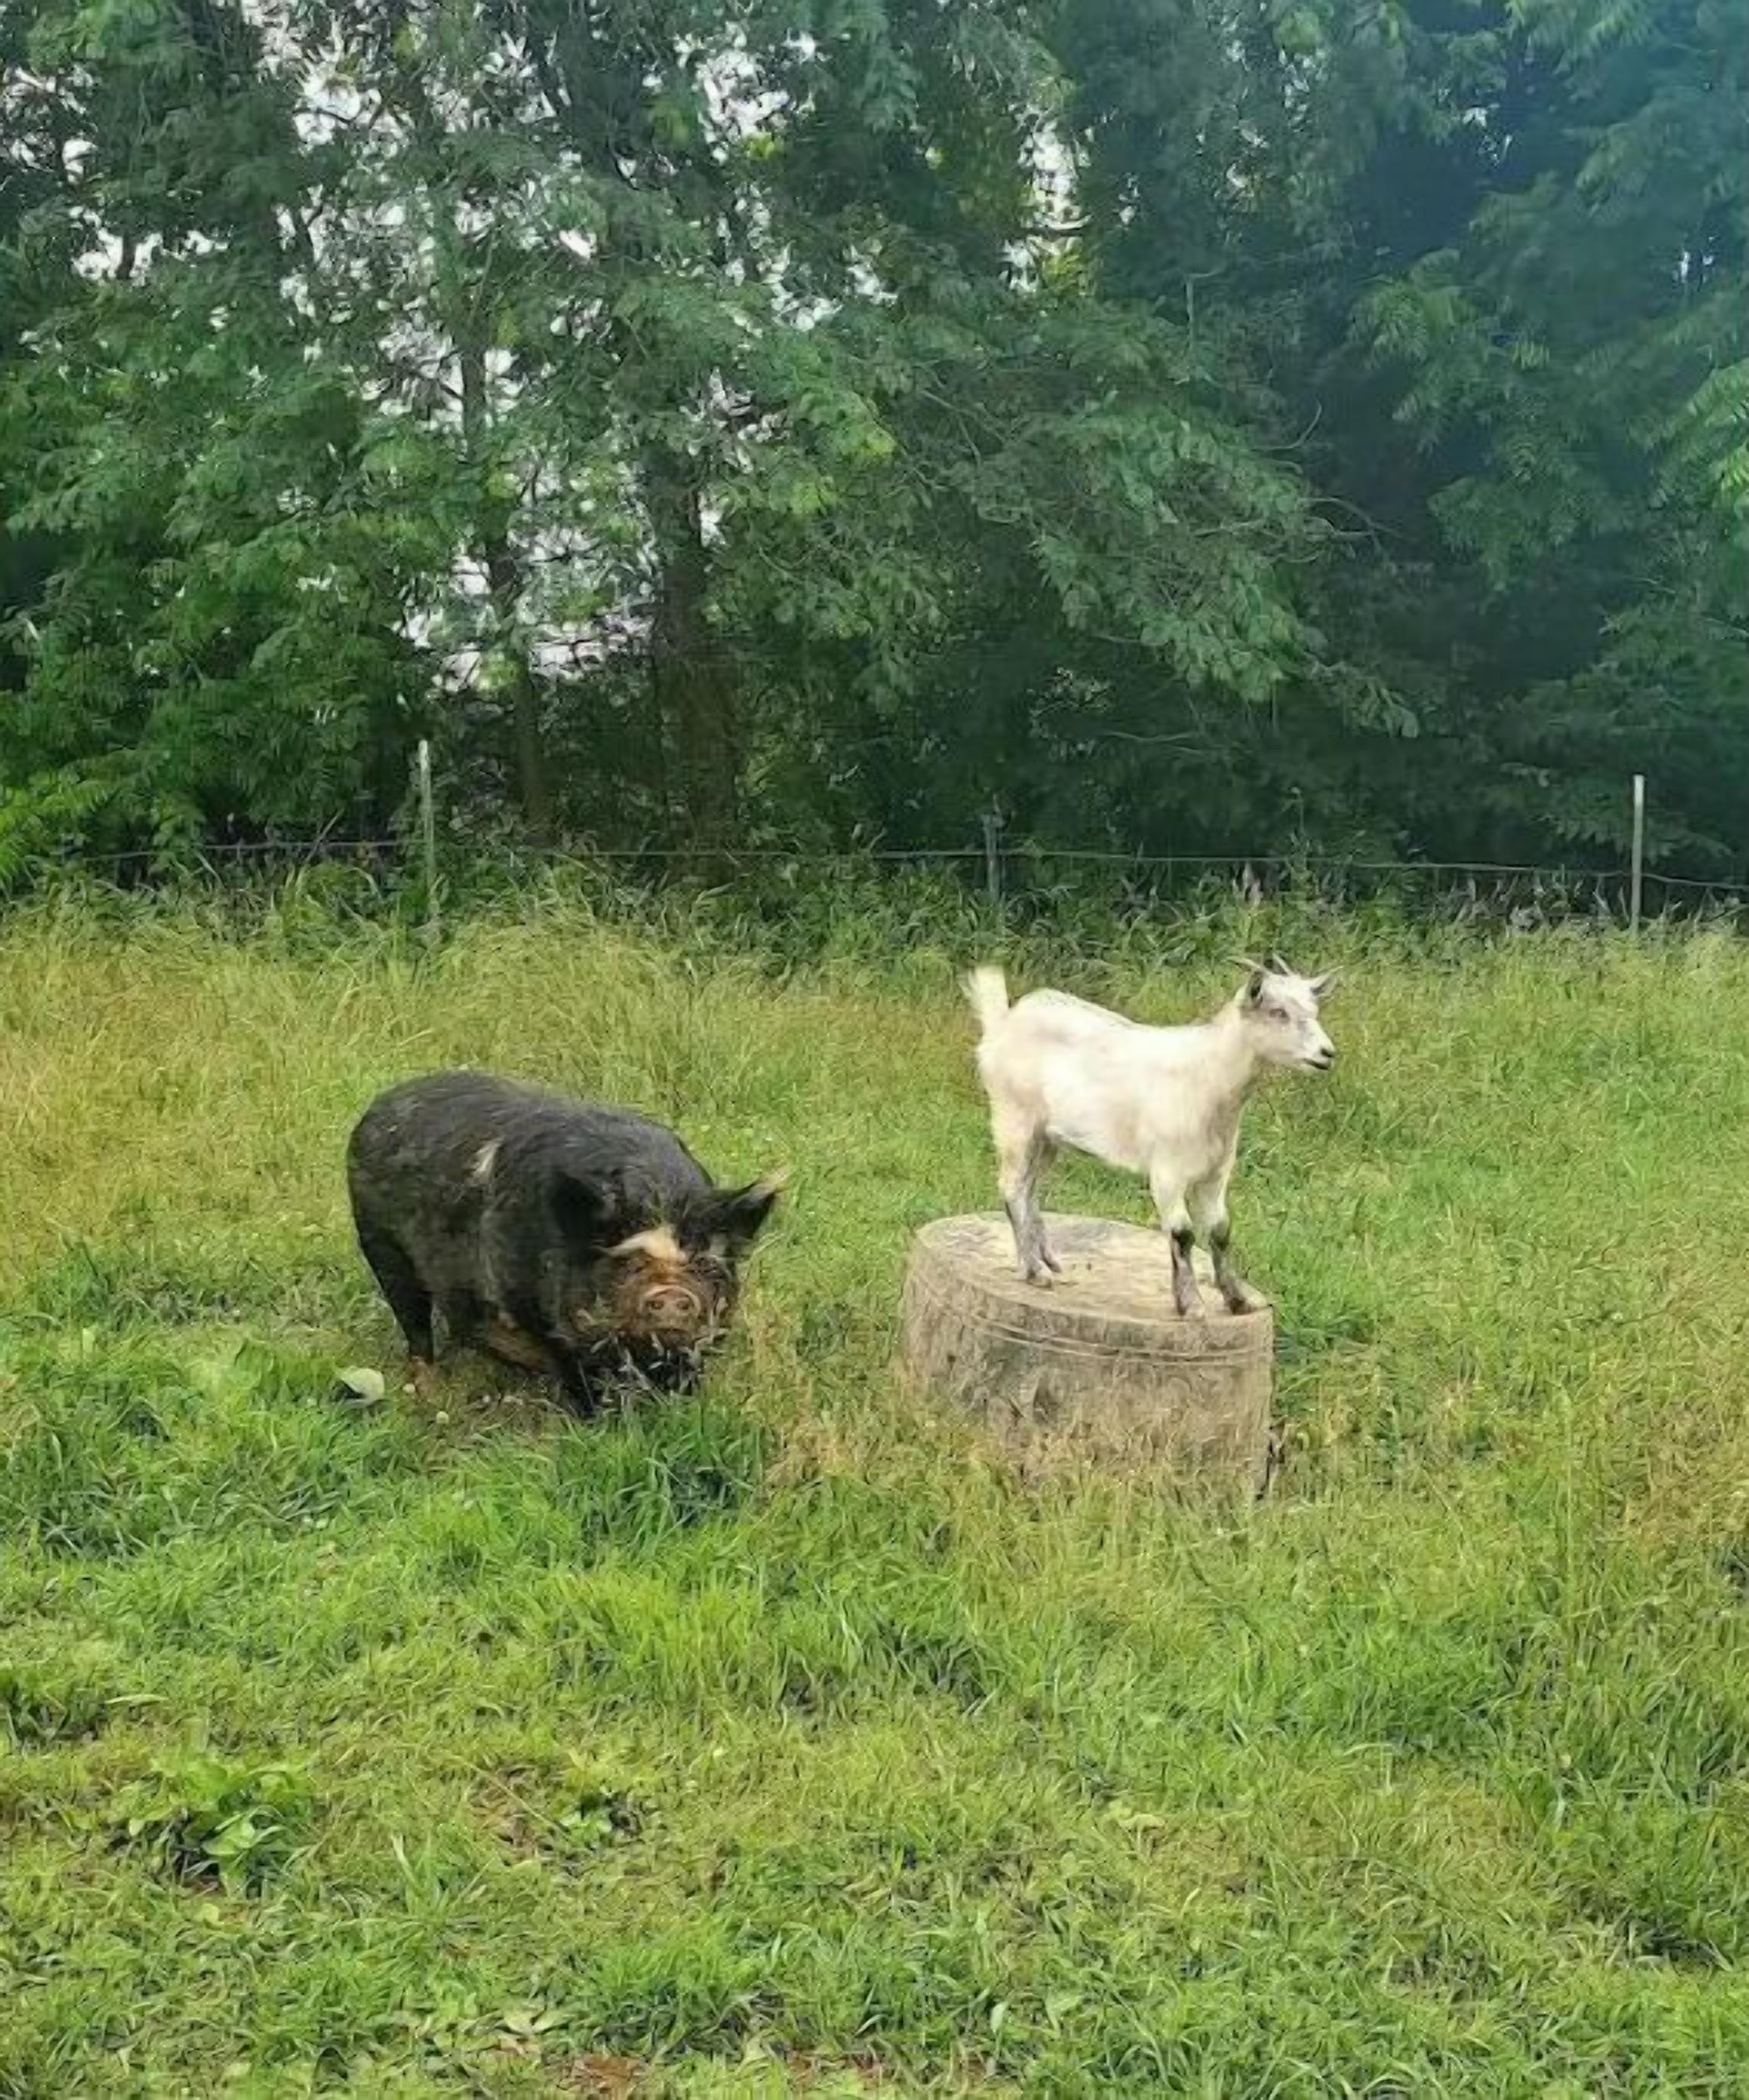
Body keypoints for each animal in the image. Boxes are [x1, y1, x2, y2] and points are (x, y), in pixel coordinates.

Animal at [345, 1071, 783, 1410]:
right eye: (626, 1263)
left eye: (704, 1263)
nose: (673, 1293)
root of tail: (380, 1104)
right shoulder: (552, 1330)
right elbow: (580, 1382)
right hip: (380, 1241)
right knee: (415, 1324)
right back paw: (429, 1393)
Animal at [966, 956, 1337, 1318]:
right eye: (1278, 1013)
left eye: (1314, 1010)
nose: (1327, 1053)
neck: (1209, 1077)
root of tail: (1003, 1021)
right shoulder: (1167, 1171)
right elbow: (1183, 1233)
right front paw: (1191, 1304)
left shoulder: (1216, 1172)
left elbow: (1220, 1230)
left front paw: (1237, 1299)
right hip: (1014, 1119)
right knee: (1013, 1187)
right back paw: (1034, 1271)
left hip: (1048, 1137)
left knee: (1030, 1189)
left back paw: (1045, 1259)